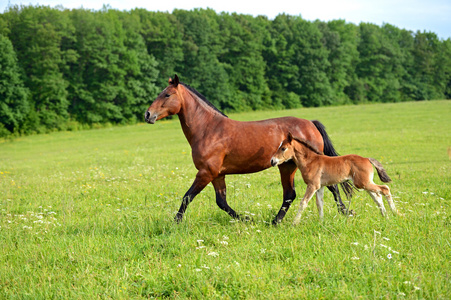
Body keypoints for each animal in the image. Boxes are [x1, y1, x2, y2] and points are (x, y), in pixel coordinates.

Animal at [147, 76, 352, 224]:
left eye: (167, 95)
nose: (148, 114)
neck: (209, 129)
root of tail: (310, 123)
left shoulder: (206, 172)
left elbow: (187, 197)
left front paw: (175, 223)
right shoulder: (217, 174)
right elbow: (221, 202)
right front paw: (246, 219)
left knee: (330, 186)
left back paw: (344, 212)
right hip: (287, 166)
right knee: (290, 194)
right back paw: (275, 221)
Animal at [270, 132, 400, 224]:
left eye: (283, 148)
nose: (272, 161)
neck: (310, 161)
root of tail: (367, 159)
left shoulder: (312, 186)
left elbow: (303, 202)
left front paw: (294, 223)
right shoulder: (320, 187)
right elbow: (319, 204)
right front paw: (321, 222)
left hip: (363, 183)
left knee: (385, 189)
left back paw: (395, 213)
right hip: (365, 184)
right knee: (377, 197)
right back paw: (385, 216)